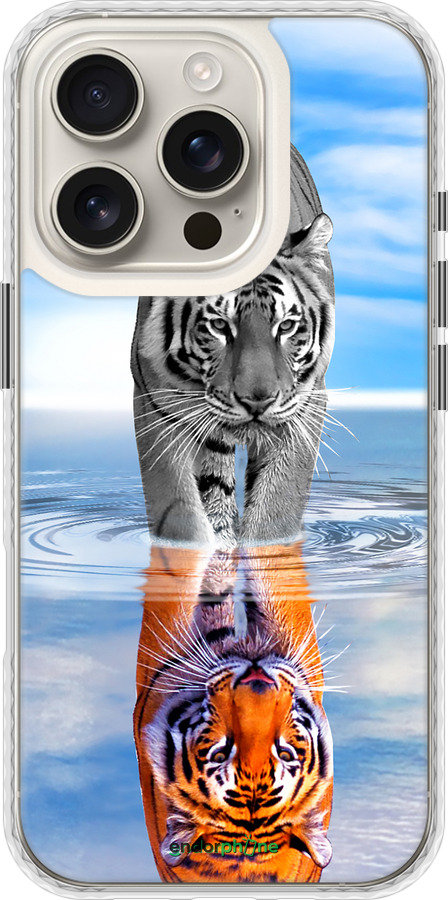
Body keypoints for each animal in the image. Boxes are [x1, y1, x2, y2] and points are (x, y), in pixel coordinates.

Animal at [131, 145, 335, 548]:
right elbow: (179, 512)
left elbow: (276, 509)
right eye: (219, 325)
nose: (257, 402)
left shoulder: (304, 406)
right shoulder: (156, 403)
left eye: (286, 326)